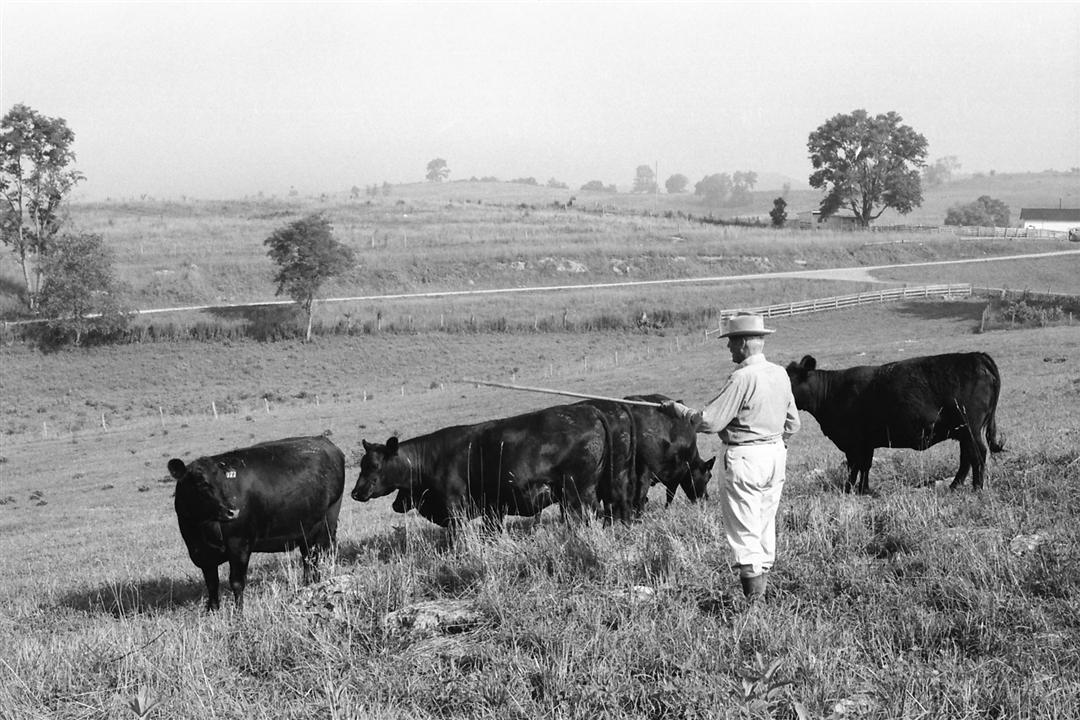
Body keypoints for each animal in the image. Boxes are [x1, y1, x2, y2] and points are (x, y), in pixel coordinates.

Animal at [166, 436, 343, 613]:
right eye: (200, 483)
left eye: (224, 482)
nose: (233, 511)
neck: (201, 531)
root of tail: (321, 439)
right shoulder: (202, 554)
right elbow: (211, 584)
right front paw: (213, 610)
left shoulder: (239, 544)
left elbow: (236, 582)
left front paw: (239, 612)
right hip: (306, 531)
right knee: (309, 560)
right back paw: (309, 586)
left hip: (328, 523)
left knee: (323, 555)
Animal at [354, 403, 617, 533]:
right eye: (362, 465)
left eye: (374, 465)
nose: (355, 493)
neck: (433, 457)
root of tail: (589, 410)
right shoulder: (493, 508)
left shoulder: (455, 507)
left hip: (579, 492)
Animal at [786, 351, 1002, 492]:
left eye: (789, 380)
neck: (832, 393)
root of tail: (976, 356)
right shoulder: (866, 442)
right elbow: (865, 466)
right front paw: (864, 490)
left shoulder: (854, 442)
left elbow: (855, 466)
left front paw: (848, 489)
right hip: (962, 430)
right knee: (967, 457)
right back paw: (954, 486)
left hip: (970, 426)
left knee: (978, 454)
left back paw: (977, 488)